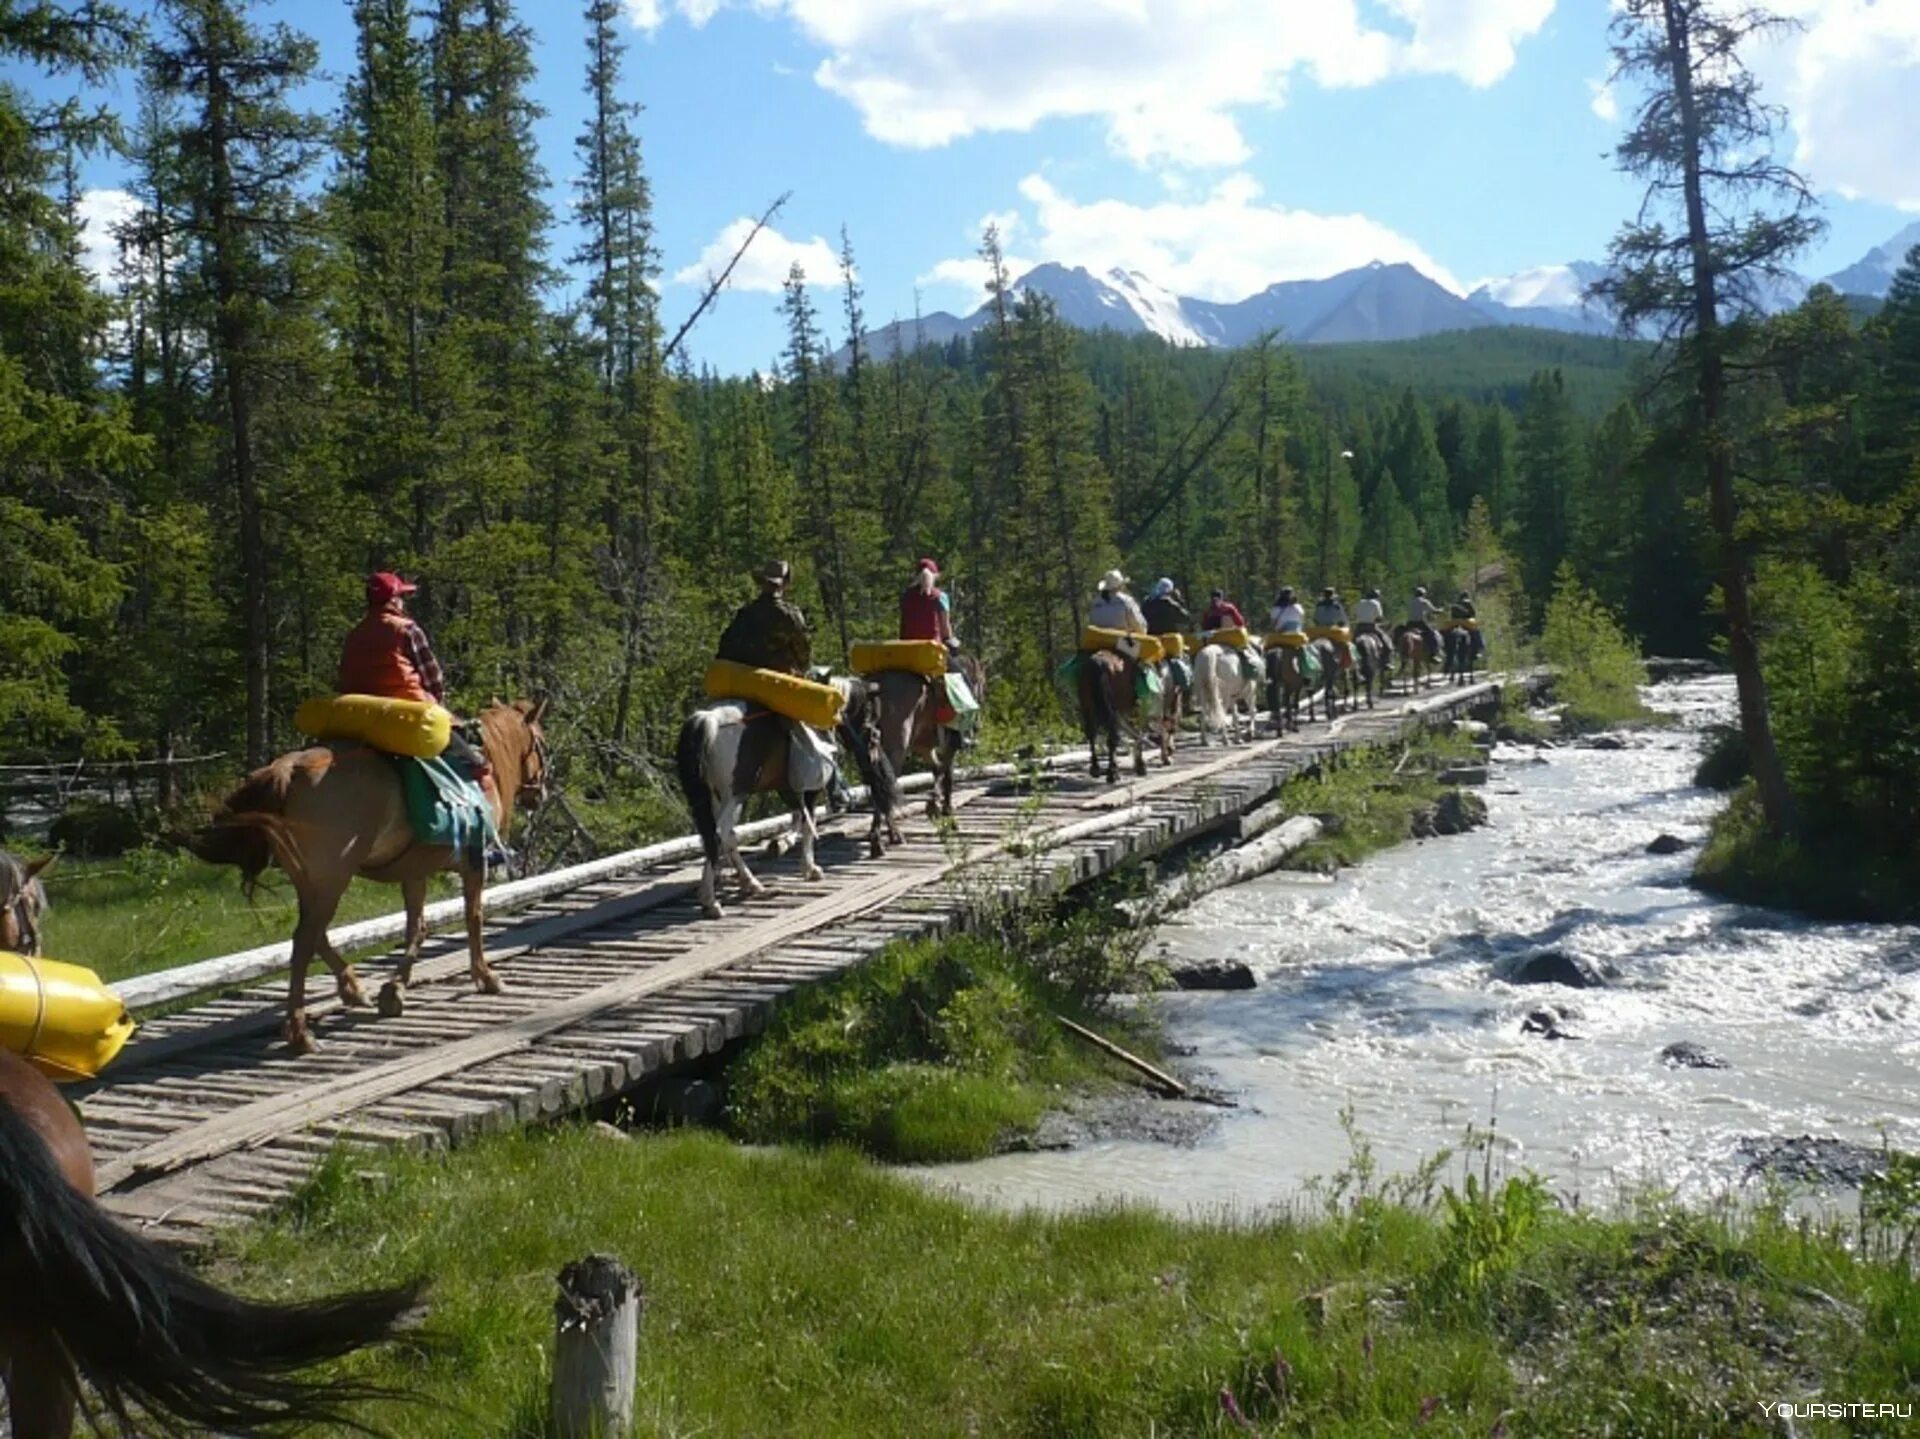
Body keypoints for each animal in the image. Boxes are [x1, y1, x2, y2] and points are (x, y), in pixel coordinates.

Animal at [189, 699, 549, 1052]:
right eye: (541, 744)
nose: (539, 795)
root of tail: (290, 768)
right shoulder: (474, 865)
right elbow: (473, 917)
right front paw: (486, 977)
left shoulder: (415, 871)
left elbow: (417, 927)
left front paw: (394, 989)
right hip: (332, 879)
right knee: (305, 940)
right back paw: (301, 1031)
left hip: (312, 880)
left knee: (315, 935)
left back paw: (352, 989)